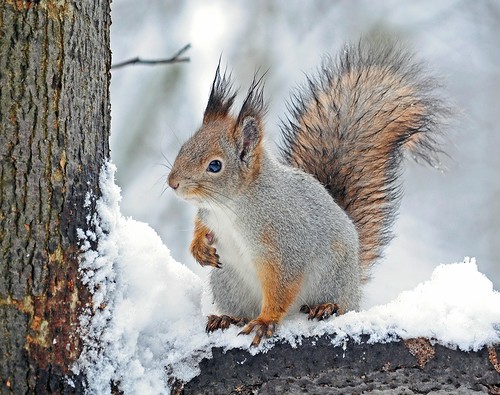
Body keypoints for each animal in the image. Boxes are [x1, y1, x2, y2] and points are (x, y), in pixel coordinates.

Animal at [167, 39, 446, 346]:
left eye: (215, 165)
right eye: (184, 147)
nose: (172, 182)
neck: (229, 207)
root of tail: (354, 288)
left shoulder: (285, 247)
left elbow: (282, 287)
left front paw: (265, 321)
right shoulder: (210, 216)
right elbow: (200, 227)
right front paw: (199, 248)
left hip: (332, 278)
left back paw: (324, 307)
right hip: (229, 283)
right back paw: (228, 317)